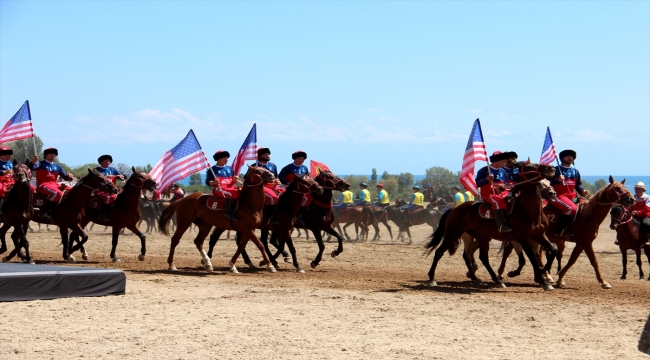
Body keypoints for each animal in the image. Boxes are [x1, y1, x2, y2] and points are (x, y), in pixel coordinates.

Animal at [422, 162, 556, 292]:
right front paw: (542, 280)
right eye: (530, 166)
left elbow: (552, 250)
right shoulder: (523, 238)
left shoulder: (539, 235)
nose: (550, 168)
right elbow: (532, 258)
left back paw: (492, 279)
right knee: (439, 252)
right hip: (452, 233)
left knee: (482, 257)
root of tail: (454, 209)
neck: (527, 210)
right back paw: (432, 278)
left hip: (481, 237)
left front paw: (544, 273)